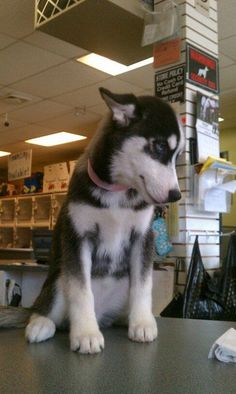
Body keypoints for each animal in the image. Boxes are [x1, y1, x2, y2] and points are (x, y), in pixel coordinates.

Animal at [0, 88, 184, 354]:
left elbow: (143, 284)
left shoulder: (142, 237)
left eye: (177, 155)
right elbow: (81, 291)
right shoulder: (78, 237)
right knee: (43, 310)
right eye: (158, 146)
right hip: (58, 280)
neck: (117, 192)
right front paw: (86, 333)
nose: (176, 195)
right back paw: (41, 324)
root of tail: (103, 315)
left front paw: (142, 322)